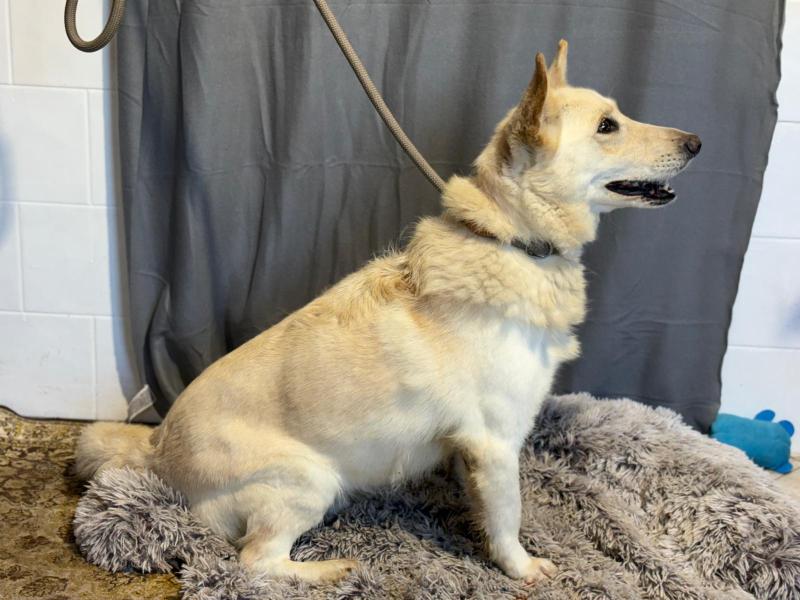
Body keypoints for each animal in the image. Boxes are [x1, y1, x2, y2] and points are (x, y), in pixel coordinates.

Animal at [75, 40, 701, 584]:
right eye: (607, 127)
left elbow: (481, 503)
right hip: (310, 478)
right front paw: (521, 568)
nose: (696, 141)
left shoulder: (473, 449)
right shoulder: (498, 442)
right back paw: (329, 570)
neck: (513, 240)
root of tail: (158, 453)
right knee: (255, 563)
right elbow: (509, 517)